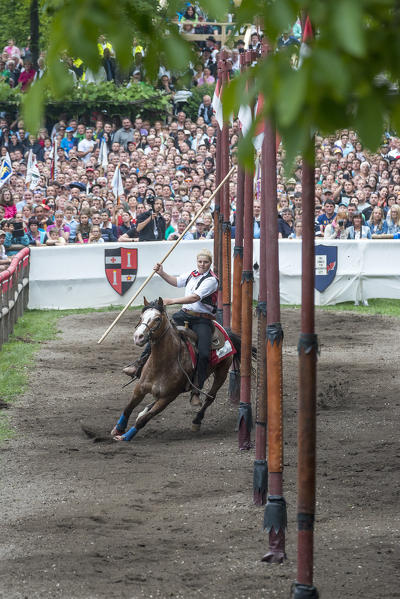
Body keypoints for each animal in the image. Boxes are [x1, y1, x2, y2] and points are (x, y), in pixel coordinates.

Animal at [110, 298, 241, 442]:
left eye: (157, 318)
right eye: (141, 317)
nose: (138, 337)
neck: (162, 364)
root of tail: (225, 332)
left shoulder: (168, 397)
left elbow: (144, 420)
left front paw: (126, 436)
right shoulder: (140, 388)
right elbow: (128, 408)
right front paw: (118, 429)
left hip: (221, 373)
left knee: (210, 398)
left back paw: (196, 421)